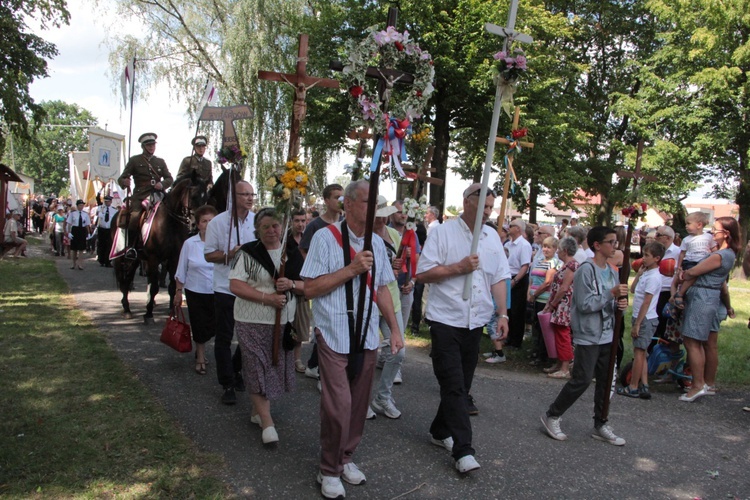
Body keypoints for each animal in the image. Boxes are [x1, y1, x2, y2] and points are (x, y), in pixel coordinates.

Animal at [111, 177, 207, 324]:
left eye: (206, 197)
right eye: (194, 196)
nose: (195, 225)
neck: (170, 223)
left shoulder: (175, 258)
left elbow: (173, 286)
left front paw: (172, 311)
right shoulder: (153, 258)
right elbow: (154, 287)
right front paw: (148, 313)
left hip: (136, 259)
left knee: (128, 278)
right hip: (120, 256)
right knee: (123, 280)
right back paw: (127, 309)